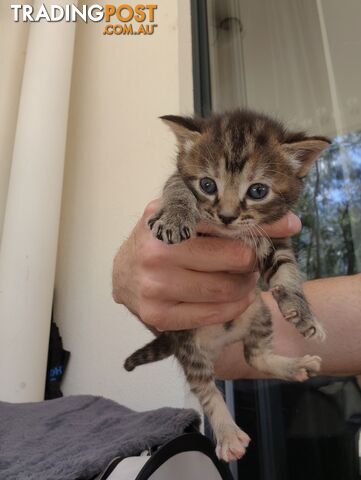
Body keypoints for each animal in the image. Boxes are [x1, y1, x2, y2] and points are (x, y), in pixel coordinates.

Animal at [124, 109, 330, 462]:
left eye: (258, 191)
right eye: (207, 185)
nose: (227, 215)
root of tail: (223, 340)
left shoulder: (276, 239)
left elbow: (288, 272)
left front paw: (303, 313)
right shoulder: (180, 181)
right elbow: (176, 185)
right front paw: (175, 215)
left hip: (259, 312)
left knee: (255, 356)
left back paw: (296, 365)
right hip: (188, 343)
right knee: (206, 388)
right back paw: (229, 434)